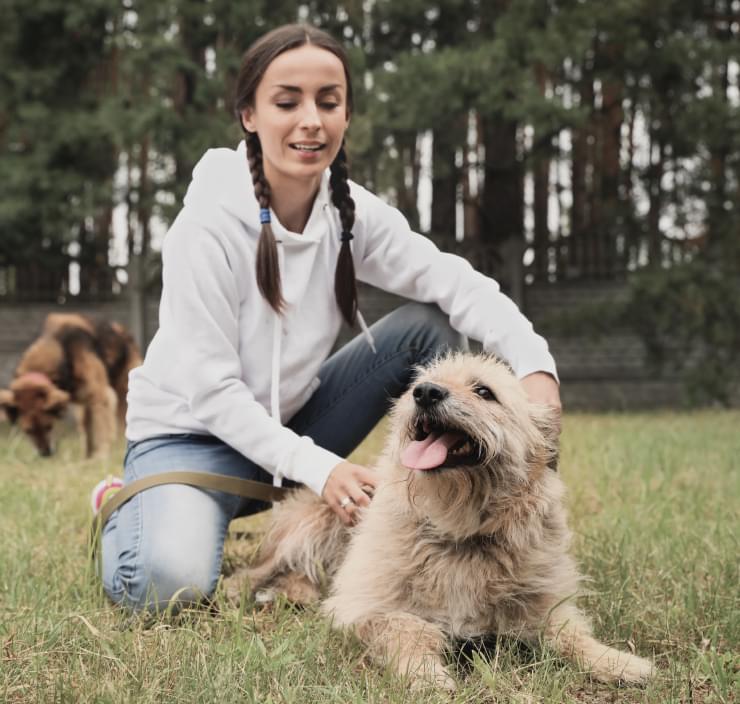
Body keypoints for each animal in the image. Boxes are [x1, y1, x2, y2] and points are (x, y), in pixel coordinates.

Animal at [0, 313, 142, 458]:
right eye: (28, 431)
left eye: (48, 426)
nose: (45, 454)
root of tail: (124, 332)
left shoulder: (101, 396)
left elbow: (102, 430)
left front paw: (101, 456)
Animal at [225, 353, 655, 690]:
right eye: (420, 385)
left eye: (484, 391)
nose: (426, 392)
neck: (458, 529)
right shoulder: (363, 606)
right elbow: (404, 627)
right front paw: (424, 672)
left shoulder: (542, 606)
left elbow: (570, 634)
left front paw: (617, 661)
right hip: (317, 519)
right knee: (271, 564)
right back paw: (248, 588)